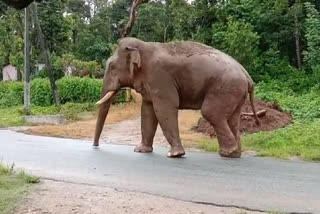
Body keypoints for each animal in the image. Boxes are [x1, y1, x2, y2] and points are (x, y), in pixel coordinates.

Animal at [93, 36, 260, 158]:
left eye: (112, 66)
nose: (95, 146)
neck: (145, 47)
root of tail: (247, 75)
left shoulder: (160, 77)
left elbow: (164, 109)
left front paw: (175, 155)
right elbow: (147, 111)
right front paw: (140, 151)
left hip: (225, 88)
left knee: (210, 112)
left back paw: (228, 152)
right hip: (236, 92)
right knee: (232, 119)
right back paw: (233, 154)